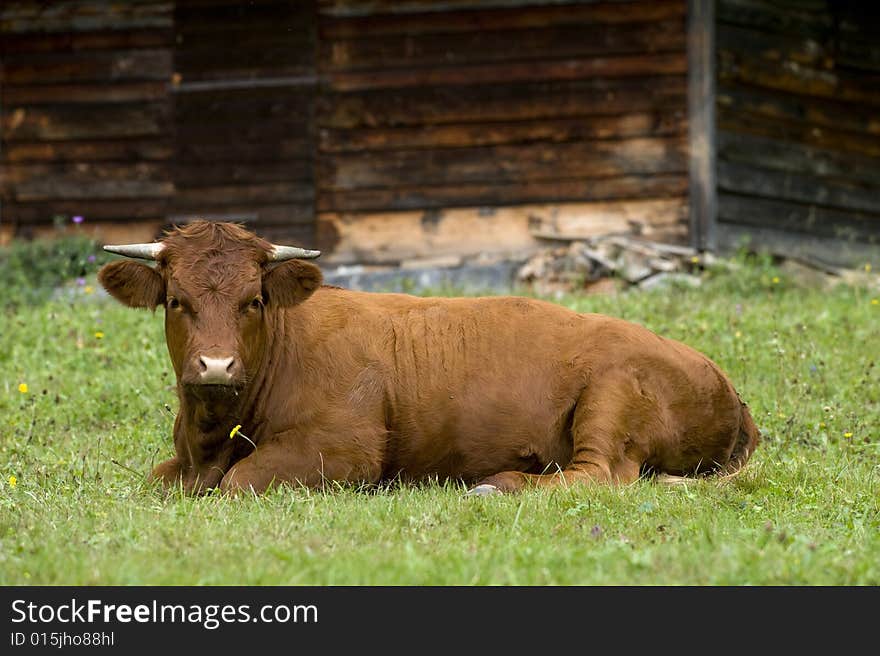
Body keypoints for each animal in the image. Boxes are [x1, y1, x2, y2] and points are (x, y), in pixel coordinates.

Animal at [98, 223, 756, 494]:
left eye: (253, 300)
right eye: (176, 300)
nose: (215, 367)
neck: (212, 439)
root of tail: (725, 383)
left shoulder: (344, 449)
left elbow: (238, 483)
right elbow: (158, 480)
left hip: (612, 397)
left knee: (600, 476)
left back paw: (499, 484)